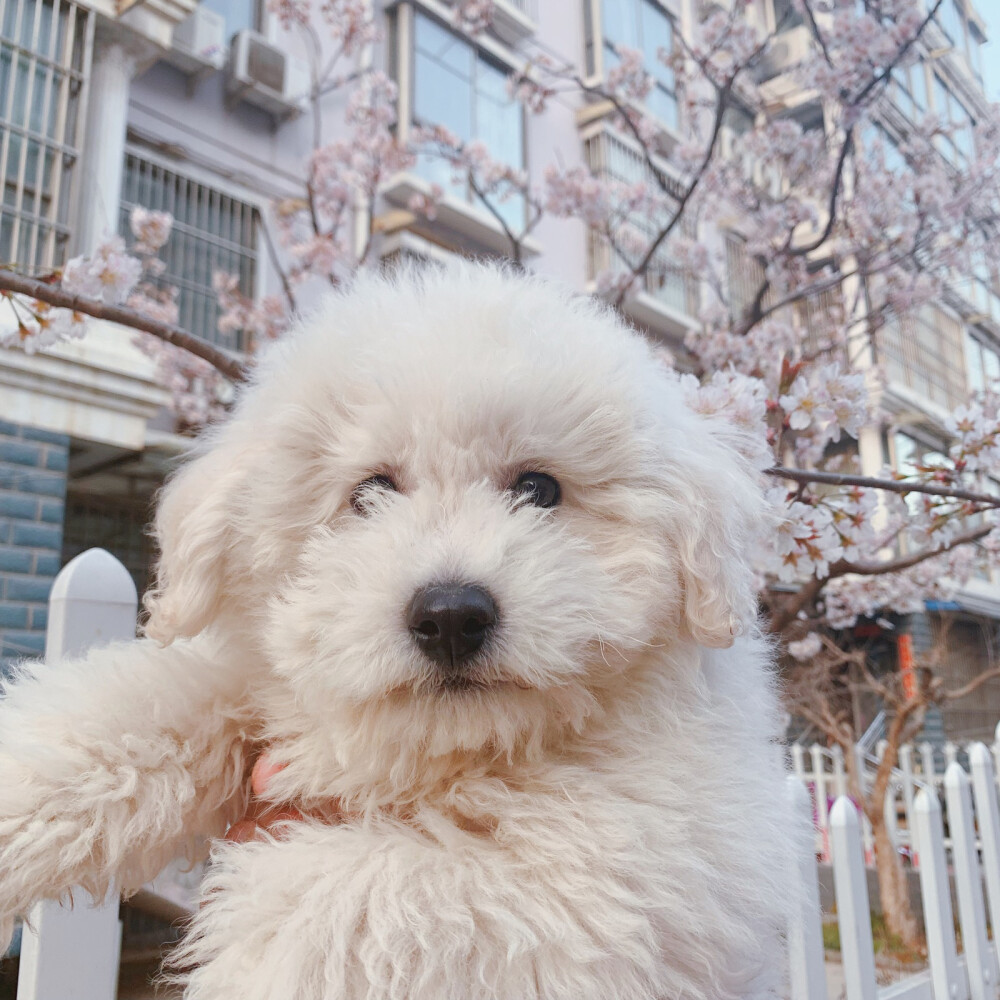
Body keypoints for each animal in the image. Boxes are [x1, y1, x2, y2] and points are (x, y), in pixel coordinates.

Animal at [0, 266, 796, 1000]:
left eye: (540, 489)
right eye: (369, 492)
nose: (450, 616)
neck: (447, 755)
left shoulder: (636, 876)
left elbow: (377, 899)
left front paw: (246, 943)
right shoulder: (248, 682)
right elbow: (131, 710)